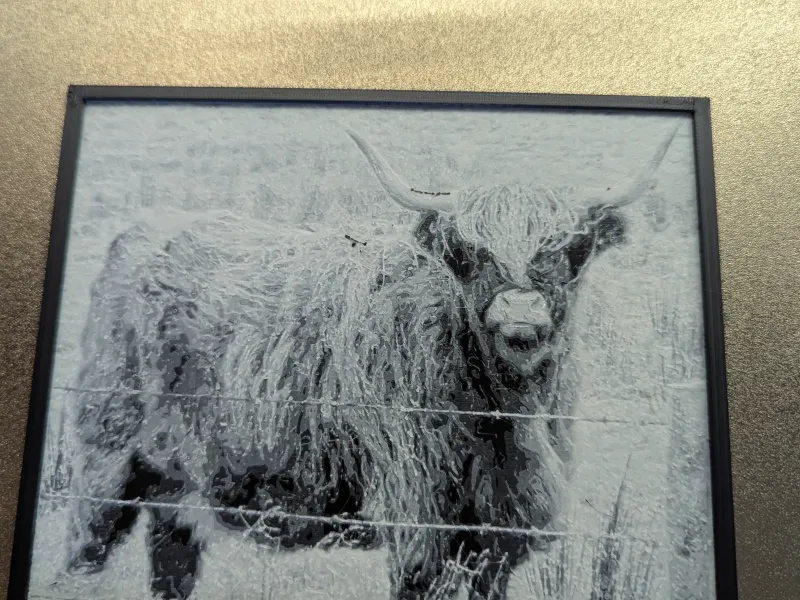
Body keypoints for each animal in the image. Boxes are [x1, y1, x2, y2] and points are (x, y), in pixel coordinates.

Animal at [64, 126, 678, 600]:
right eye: (466, 253)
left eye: (572, 249)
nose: (520, 317)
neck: (507, 416)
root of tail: (142, 230)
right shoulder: (418, 530)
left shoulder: (500, 541)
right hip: (105, 468)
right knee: (81, 559)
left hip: (176, 494)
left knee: (171, 570)